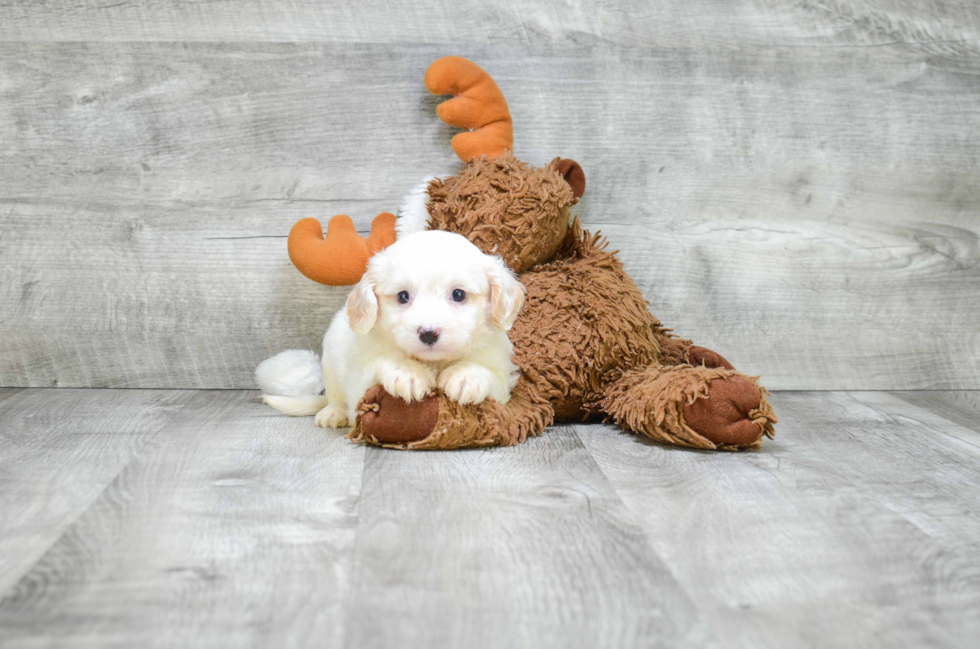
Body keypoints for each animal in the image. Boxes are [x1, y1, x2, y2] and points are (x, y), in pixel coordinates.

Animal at [256, 230, 524, 428]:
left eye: (459, 294)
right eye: (403, 296)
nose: (428, 333)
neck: (435, 362)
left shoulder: (501, 378)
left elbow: (488, 374)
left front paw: (466, 376)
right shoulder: (360, 382)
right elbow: (381, 364)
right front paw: (407, 373)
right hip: (330, 360)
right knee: (335, 396)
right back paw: (334, 413)